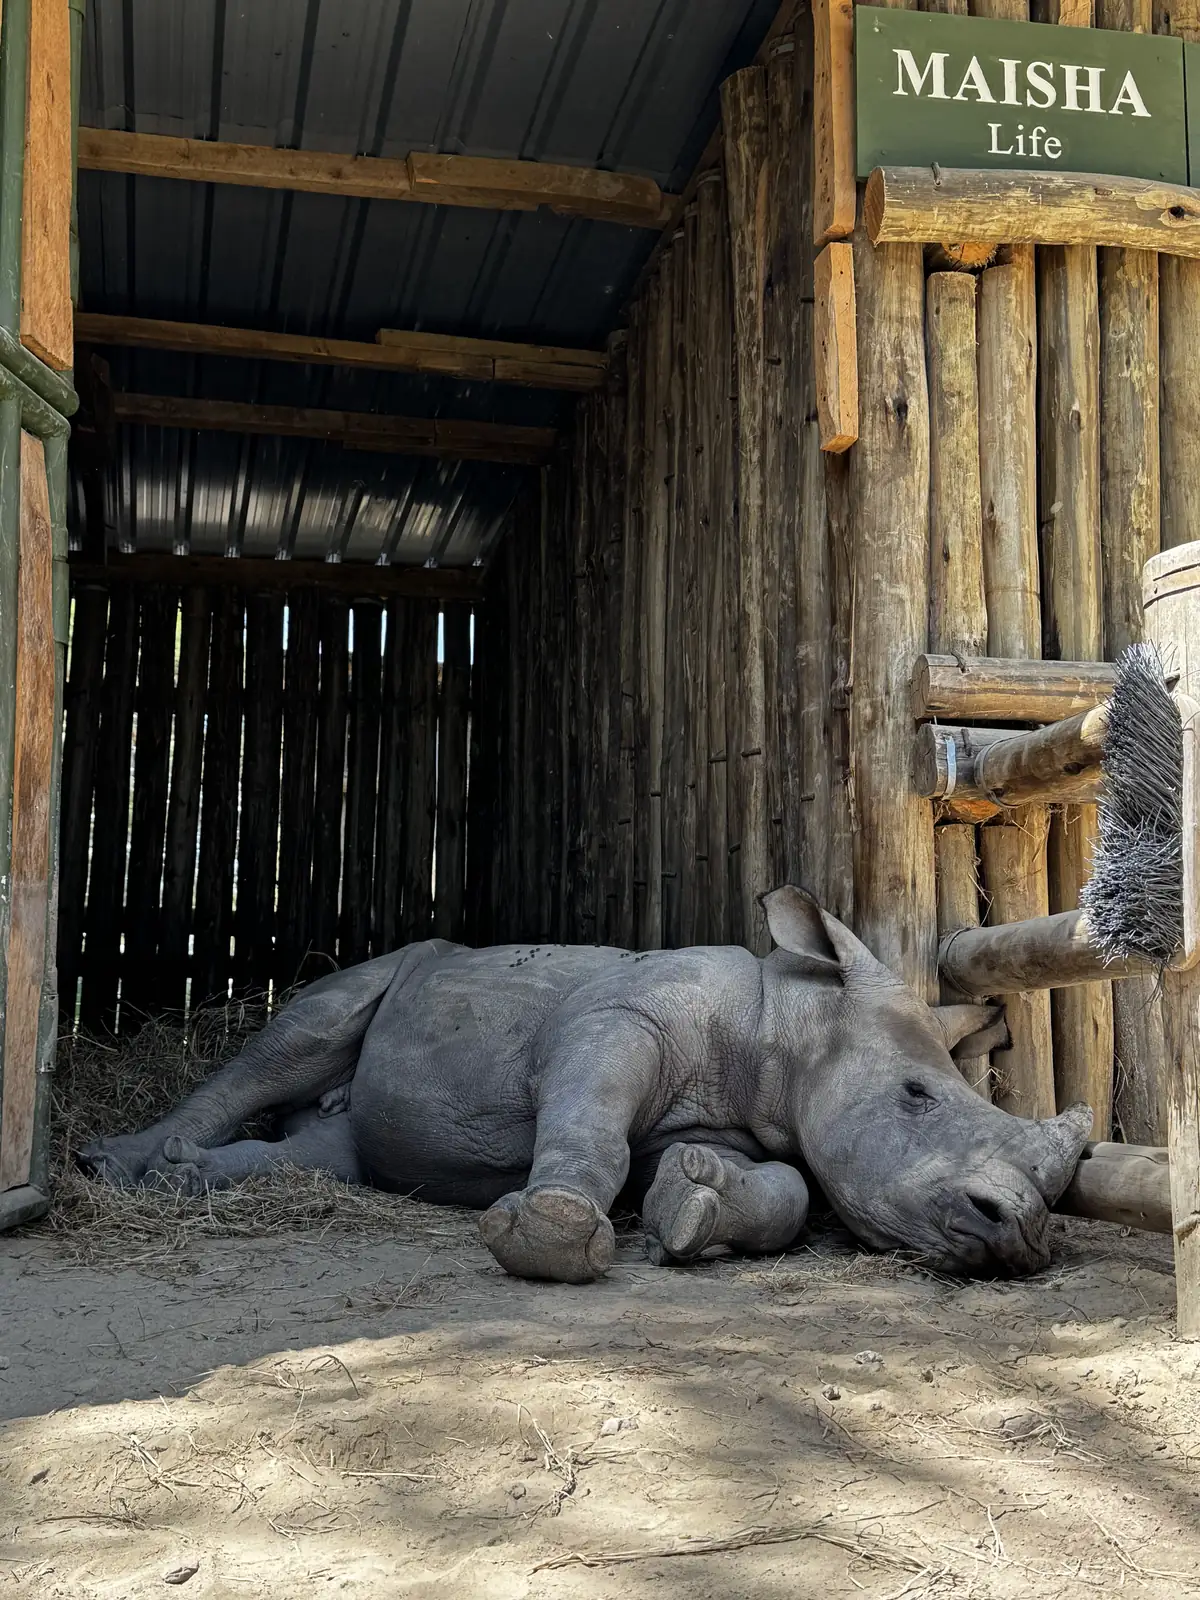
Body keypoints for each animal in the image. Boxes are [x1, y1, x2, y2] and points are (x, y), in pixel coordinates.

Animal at [77, 888, 1093, 1282]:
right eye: (919, 1098)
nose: (1022, 1232)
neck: (790, 1024)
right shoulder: (616, 1021)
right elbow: (590, 1124)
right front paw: (552, 1236)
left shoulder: (731, 1124)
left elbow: (787, 1189)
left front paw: (693, 1213)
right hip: (391, 969)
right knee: (302, 1032)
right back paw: (109, 1166)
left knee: (332, 1151)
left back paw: (180, 1176)